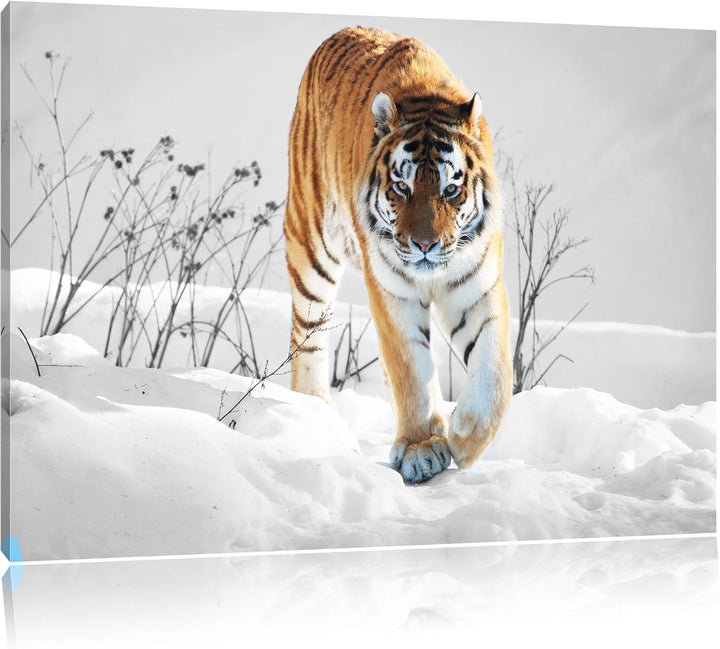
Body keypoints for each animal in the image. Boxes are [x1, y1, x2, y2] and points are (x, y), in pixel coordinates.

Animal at [284, 27, 512, 484]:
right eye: (402, 188)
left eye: (450, 190)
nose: (425, 245)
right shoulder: (393, 290)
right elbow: (411, 368)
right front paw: (422, 448)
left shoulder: (478, 285)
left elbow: (495, 369)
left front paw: (465, 435)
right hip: (310, 246)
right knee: (309, 335)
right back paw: (317, 412)